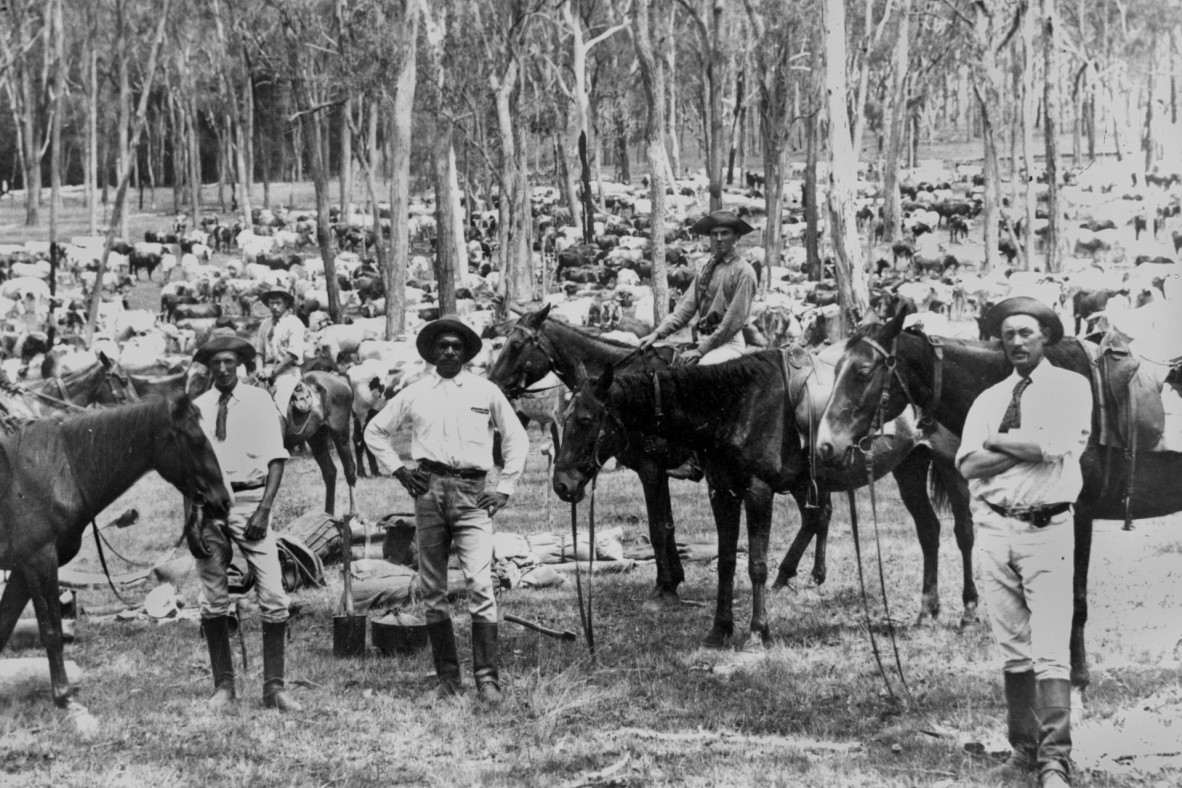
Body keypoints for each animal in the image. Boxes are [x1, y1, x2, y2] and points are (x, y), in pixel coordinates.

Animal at [550, 349, 969, 647]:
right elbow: (725, 563)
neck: (734, 407)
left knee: (963, 532)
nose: (562, 484)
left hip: (950, 469)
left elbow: (755, 564)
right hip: (908, 469)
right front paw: (720, 630)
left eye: (585, 420)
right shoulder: (722, 492)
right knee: (928, 531)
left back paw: (968, 611)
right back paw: (926, 612)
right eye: (564, 418)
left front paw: (757, 631)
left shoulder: (756, 492)